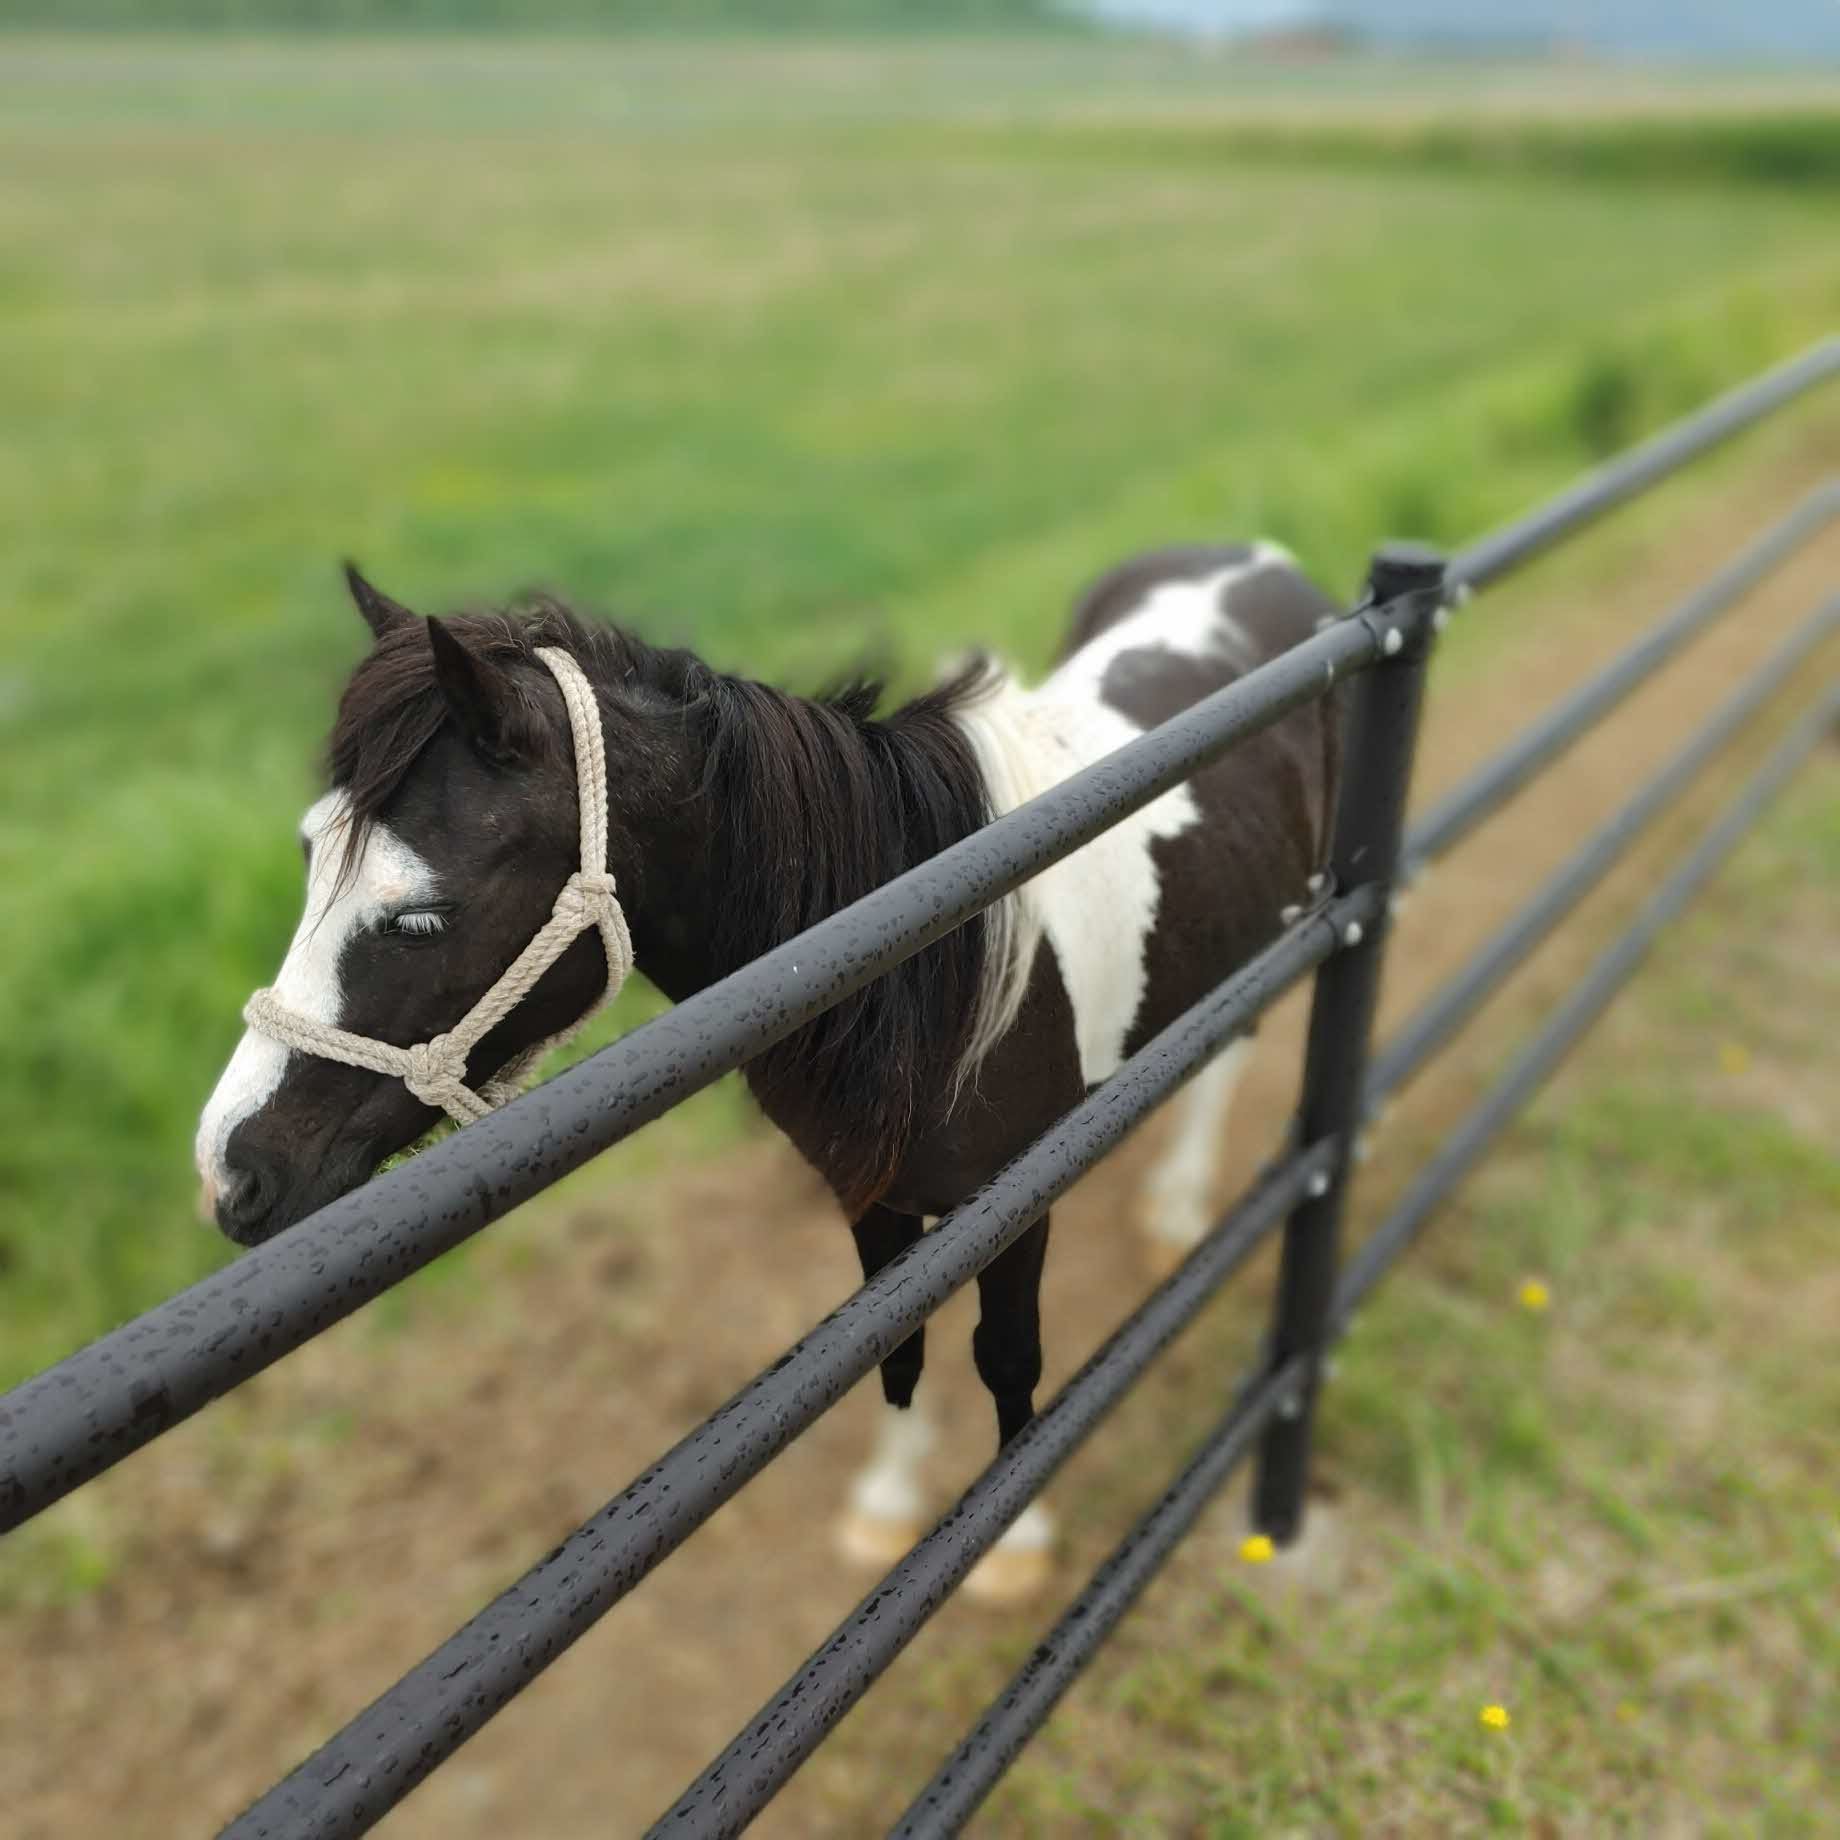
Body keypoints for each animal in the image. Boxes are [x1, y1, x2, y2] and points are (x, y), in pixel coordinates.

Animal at [197, 540, 1339, 1597]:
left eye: (421, 915)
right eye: (310, 855)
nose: (230, 1170)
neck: (930, 946)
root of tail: (1261, 561)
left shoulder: (1014, 1201)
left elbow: (1007, 1357)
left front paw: (1013, 1538)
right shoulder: (876, 1193)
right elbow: (895, 1344)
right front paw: (887, 1507)